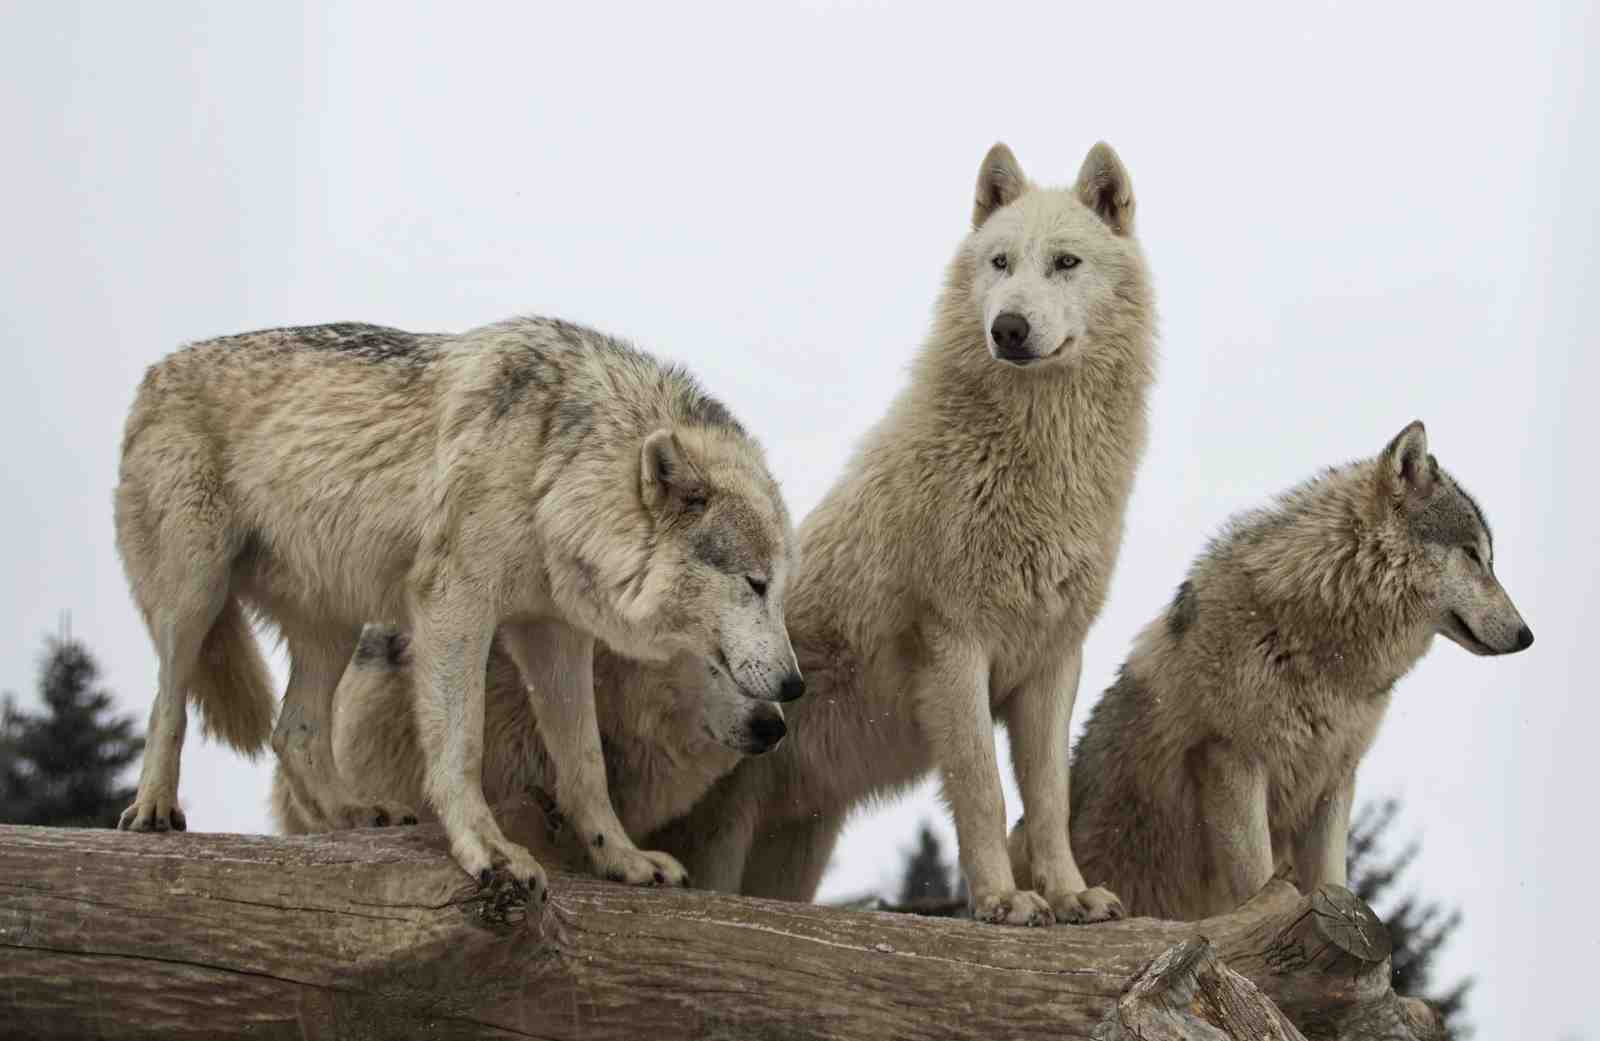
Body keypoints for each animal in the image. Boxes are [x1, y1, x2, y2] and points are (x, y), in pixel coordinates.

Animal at [648, 141, 1157, 926]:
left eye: (1065, 262)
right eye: (1001, 262)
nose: (1008, 328)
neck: (1035, 462)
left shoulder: (1054, 660)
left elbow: (1050, 800)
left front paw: (1071, 894)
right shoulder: (955, 648)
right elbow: (983, 792)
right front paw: (1003, 900)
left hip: (795, 851)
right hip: (721, 837)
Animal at [1009, 421, 1534, 920]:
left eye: (1487, 558)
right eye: (1473, 555)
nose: (1528, 636)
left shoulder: (1334, 782)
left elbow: (1335, 884)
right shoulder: (1233, 761)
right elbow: (1259, 886)